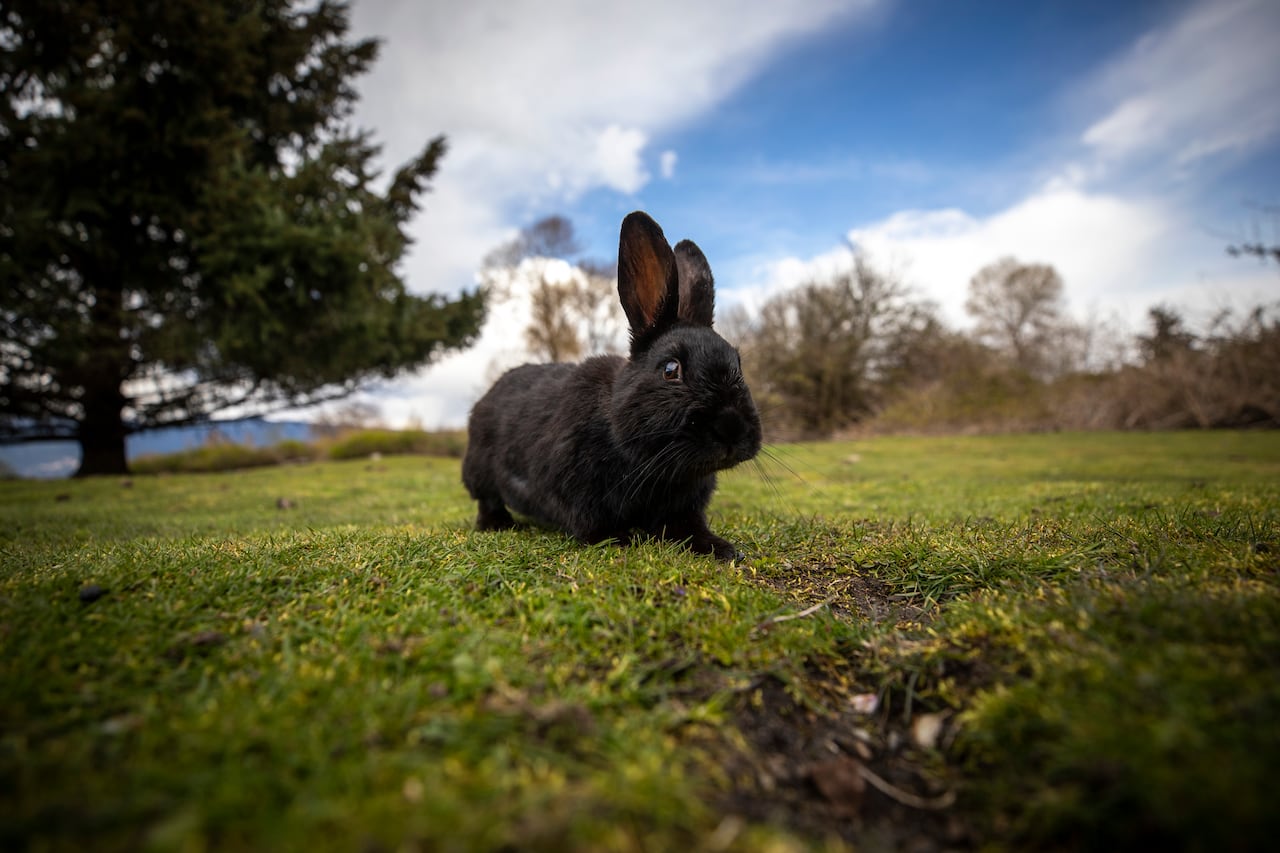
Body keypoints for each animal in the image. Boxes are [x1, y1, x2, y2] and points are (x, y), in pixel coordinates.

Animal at [462, 211, 762, 561]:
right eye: (671, 370)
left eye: (738, 365)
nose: (731, 429)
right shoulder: (574, 491)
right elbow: (592, 523)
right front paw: (619, 541)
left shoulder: (683, 509)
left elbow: (688, 529)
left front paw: (721, 549)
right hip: (480, 473)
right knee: (487, 502)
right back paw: (498, 525)